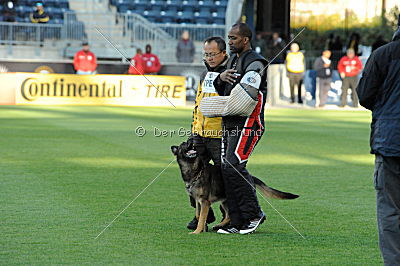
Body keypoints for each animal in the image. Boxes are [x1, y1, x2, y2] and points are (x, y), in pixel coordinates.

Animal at [170, 142, 298, 234]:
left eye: (187, 142)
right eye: (184, 143)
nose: (192, 142)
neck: (195, 170)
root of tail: (250, 176)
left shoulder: (205, 202)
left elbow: (201, 218)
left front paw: (197, 231)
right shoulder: (198, 201)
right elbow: (198, 214)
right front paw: (202, 228)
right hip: (225, 201)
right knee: (228, 215)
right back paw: (221, 225)